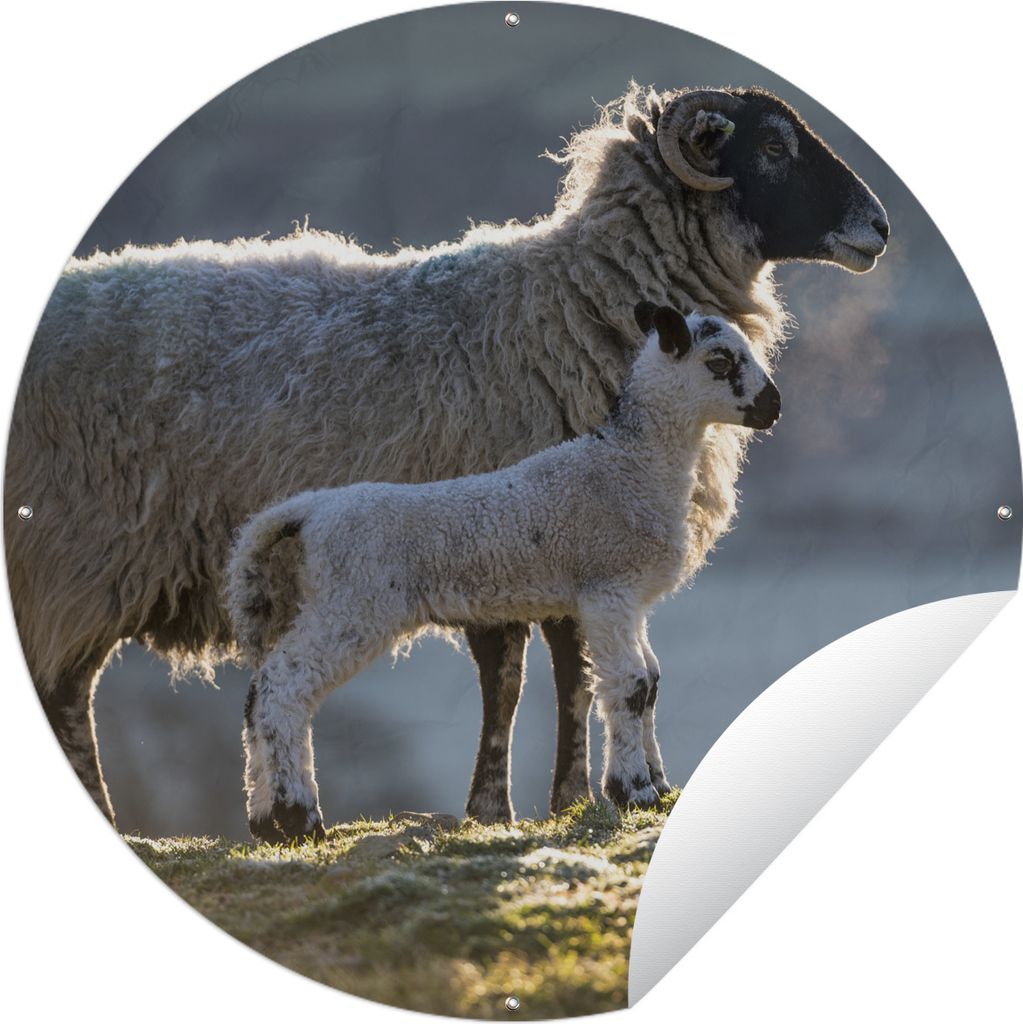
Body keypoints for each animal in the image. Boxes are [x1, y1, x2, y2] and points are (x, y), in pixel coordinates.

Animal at [229, 304, 782, 842]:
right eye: (720, 362)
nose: (773, 406)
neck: (628, 465)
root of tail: (309, 511)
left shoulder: (630, 600)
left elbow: (652, 681)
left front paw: (662, 788)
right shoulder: (606, 589)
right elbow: (630, 684)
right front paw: (634, 792)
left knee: (260, 691)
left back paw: (266, 820)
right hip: (353, 604)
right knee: (283, 688)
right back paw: (300, 818)